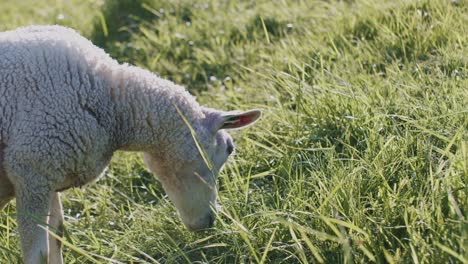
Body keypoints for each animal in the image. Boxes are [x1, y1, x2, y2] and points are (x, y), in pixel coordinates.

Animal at [0, 25, 262, 264]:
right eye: (228, 149)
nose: (208, 222)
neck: (110, 103)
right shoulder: (32, 173)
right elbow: (39, 254)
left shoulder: (51, 175)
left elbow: (57, 238)